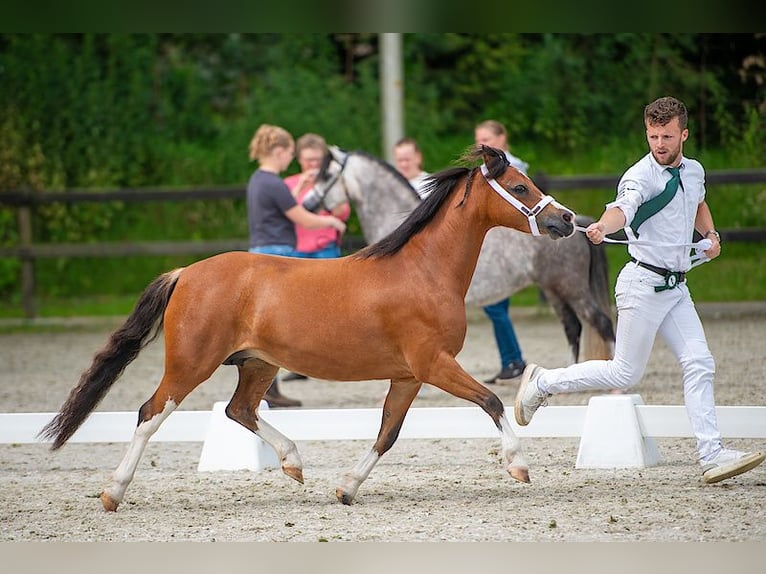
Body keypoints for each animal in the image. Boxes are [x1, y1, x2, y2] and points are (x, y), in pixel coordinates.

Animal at [39, 146, 572, 510]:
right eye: (520, 188)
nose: (565, 220)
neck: (424, 271)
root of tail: (185, 273)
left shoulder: (407, 375)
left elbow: (388, 433)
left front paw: (346, 488)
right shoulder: (433, 364)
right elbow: (491, 401)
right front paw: (518, 465)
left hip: (256, 363)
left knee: (238, 409)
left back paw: (293, 463)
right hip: (191, 364)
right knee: (151, 413)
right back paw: (113, 492)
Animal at [306, 148, 616, 364]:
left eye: (325, 175)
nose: (308, 204)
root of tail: (582, 225)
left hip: (571, 288)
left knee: (601, 323)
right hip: (553, 290)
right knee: (573, 327)